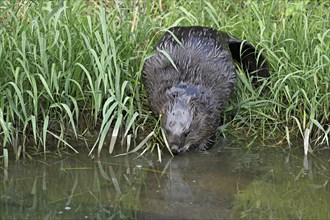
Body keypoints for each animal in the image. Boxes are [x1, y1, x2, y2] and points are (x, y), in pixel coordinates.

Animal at [142, 26, 268, 155]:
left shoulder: (212, 109)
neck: (185, 93)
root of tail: (222, 34)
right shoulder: (155, 97)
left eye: (187, 132)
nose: (175, 149)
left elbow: (210, 131)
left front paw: (202, 147)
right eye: (167, 130)